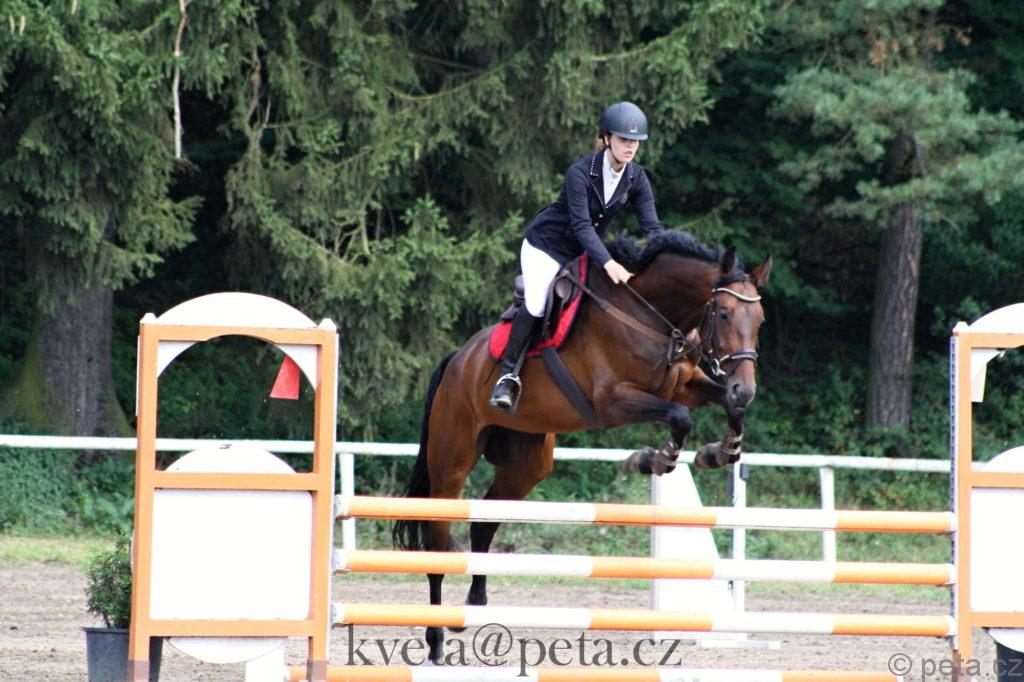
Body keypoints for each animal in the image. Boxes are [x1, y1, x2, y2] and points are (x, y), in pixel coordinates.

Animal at [392, 230, 771, 662]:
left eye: (760, 320)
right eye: (723, 314)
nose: (746, 388)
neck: (650, 317)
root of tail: (458, 359)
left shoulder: (686, 384)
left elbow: (724, 407)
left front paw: (720, 452)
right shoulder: (614, 401)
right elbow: (680, 417)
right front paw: (654, 460)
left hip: (526, 465)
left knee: (484, 522)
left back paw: (474, 605)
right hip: (451, 462)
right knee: (437, 541)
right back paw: (436, 639)